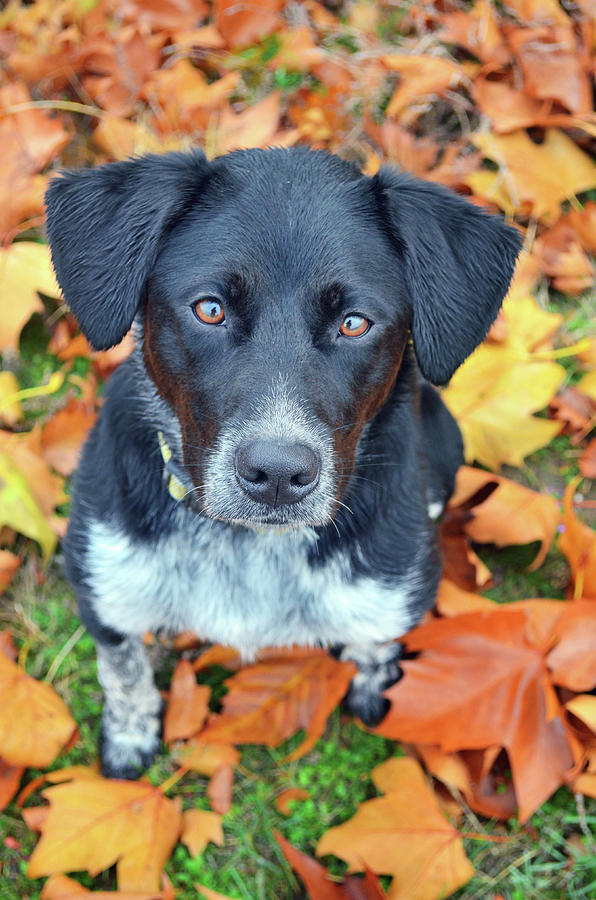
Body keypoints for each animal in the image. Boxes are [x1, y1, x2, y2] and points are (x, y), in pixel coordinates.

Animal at [45, 144, 520, 776]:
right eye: (210, 309)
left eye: (354, 323)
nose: (276, 475)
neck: (248, 544)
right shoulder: (103, 585)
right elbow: (123, 674)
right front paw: (129, 736)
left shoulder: (397, 589)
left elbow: (378, 641)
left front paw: (375, 682)